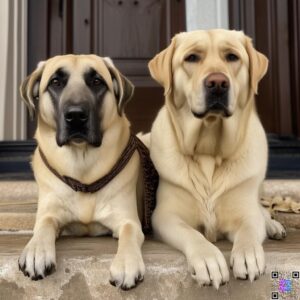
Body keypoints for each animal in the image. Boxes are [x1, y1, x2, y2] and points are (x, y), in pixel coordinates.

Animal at [17, 54, 146, 290]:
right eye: (55, 82)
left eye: (96, 81)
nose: (76, 116)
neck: (83, 171)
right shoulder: (49, 212)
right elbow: (43, 225)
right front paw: (36, 250)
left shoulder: (127, 219)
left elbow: (130, 231)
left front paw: (126, 263)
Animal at [148, 29, 286, 288]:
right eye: (192, 58)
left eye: (232, 57)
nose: (218, 83)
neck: (209, 153)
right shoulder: (165, 216)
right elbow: (192, 234)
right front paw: (208, 259)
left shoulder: (246, 212)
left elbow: (249, 230)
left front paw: (248, 254)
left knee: (261, 211)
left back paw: (273, 225)